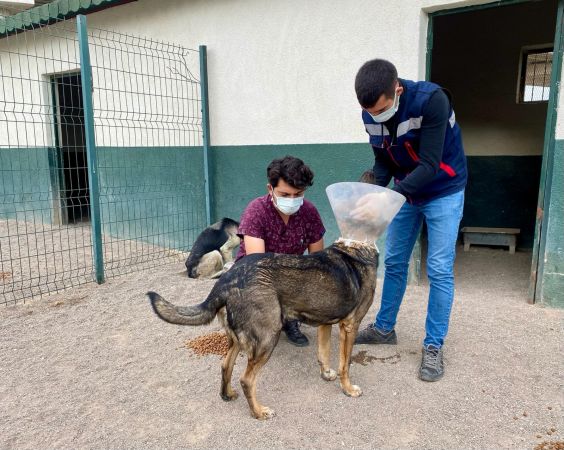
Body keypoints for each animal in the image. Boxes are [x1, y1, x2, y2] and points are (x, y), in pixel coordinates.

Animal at [149, 239, 378, 418]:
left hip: (238, 340)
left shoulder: (325, 323)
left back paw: (227, 394)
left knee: (226, 366)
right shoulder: (350, 326)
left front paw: (327, 374)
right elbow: (345, 365)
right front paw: (348, 389)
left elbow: (323, 354)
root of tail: (226, 280)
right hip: (267, 338)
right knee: (247, 380)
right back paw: (259, 412)